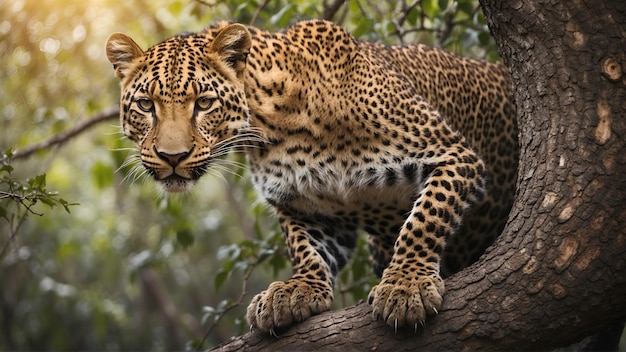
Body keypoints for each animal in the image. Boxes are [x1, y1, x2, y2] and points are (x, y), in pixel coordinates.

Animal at [106, 19, 516, 336]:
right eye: (145, 105)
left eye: (204, 103)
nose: (171, 157)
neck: (273, 128)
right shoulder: (307, 206)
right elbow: (305, 248)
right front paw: (295, 290)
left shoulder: (452, 154)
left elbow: (425, 219)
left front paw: (406, 284)